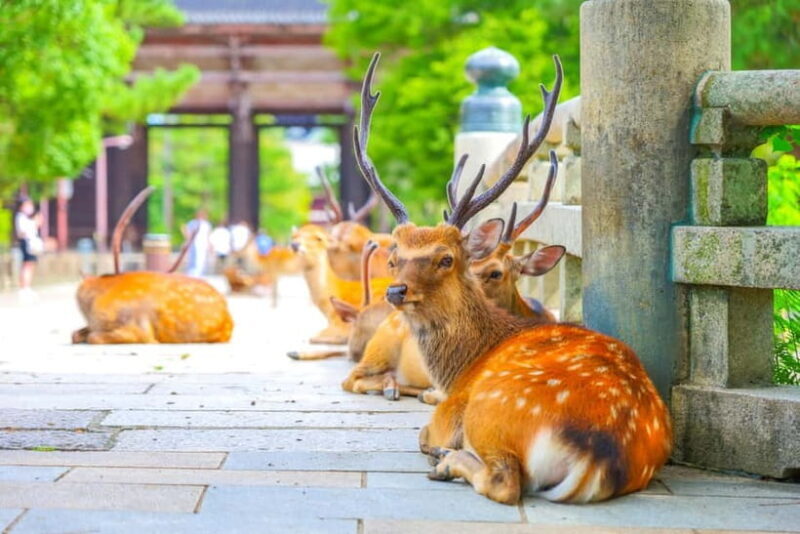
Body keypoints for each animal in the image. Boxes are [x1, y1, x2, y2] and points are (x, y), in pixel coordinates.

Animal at [350, 52, 672, 504]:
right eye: (394, 257)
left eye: (446, 258)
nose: (397, 290)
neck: (461, 366)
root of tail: (599, 452)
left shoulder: (449, 409)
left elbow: (422, 434)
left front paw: (439, 451)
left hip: (490, 409)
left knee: (504, 481)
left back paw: (448, 463)